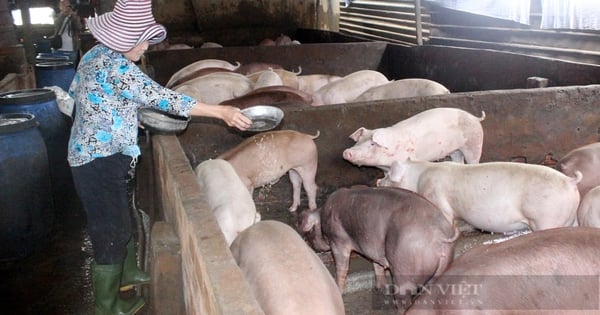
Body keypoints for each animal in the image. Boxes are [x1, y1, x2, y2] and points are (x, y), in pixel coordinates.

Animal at [298, 186, 458, 314]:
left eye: (308, 233)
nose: (307, 243)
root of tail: (440, 235)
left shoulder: (338, 241)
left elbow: (342, 267)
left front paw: (338, 289)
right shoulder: (372, 245)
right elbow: (377, 264)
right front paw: (381, 288)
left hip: (406, 265)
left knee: (404, 297)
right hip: (443, 267)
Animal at [342, 107, 488, 169]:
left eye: (372, 144)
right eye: (358, 142)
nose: (347, 152)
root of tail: (476, 118)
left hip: (475, 144)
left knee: (474, 160)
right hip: (455, 150)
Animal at [380, 160, 580, 235]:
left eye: (388, 175)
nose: (378, 181)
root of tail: (570, 181)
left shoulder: (438, 199)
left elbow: (446, 218)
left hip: (546, 218)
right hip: (570, 218)